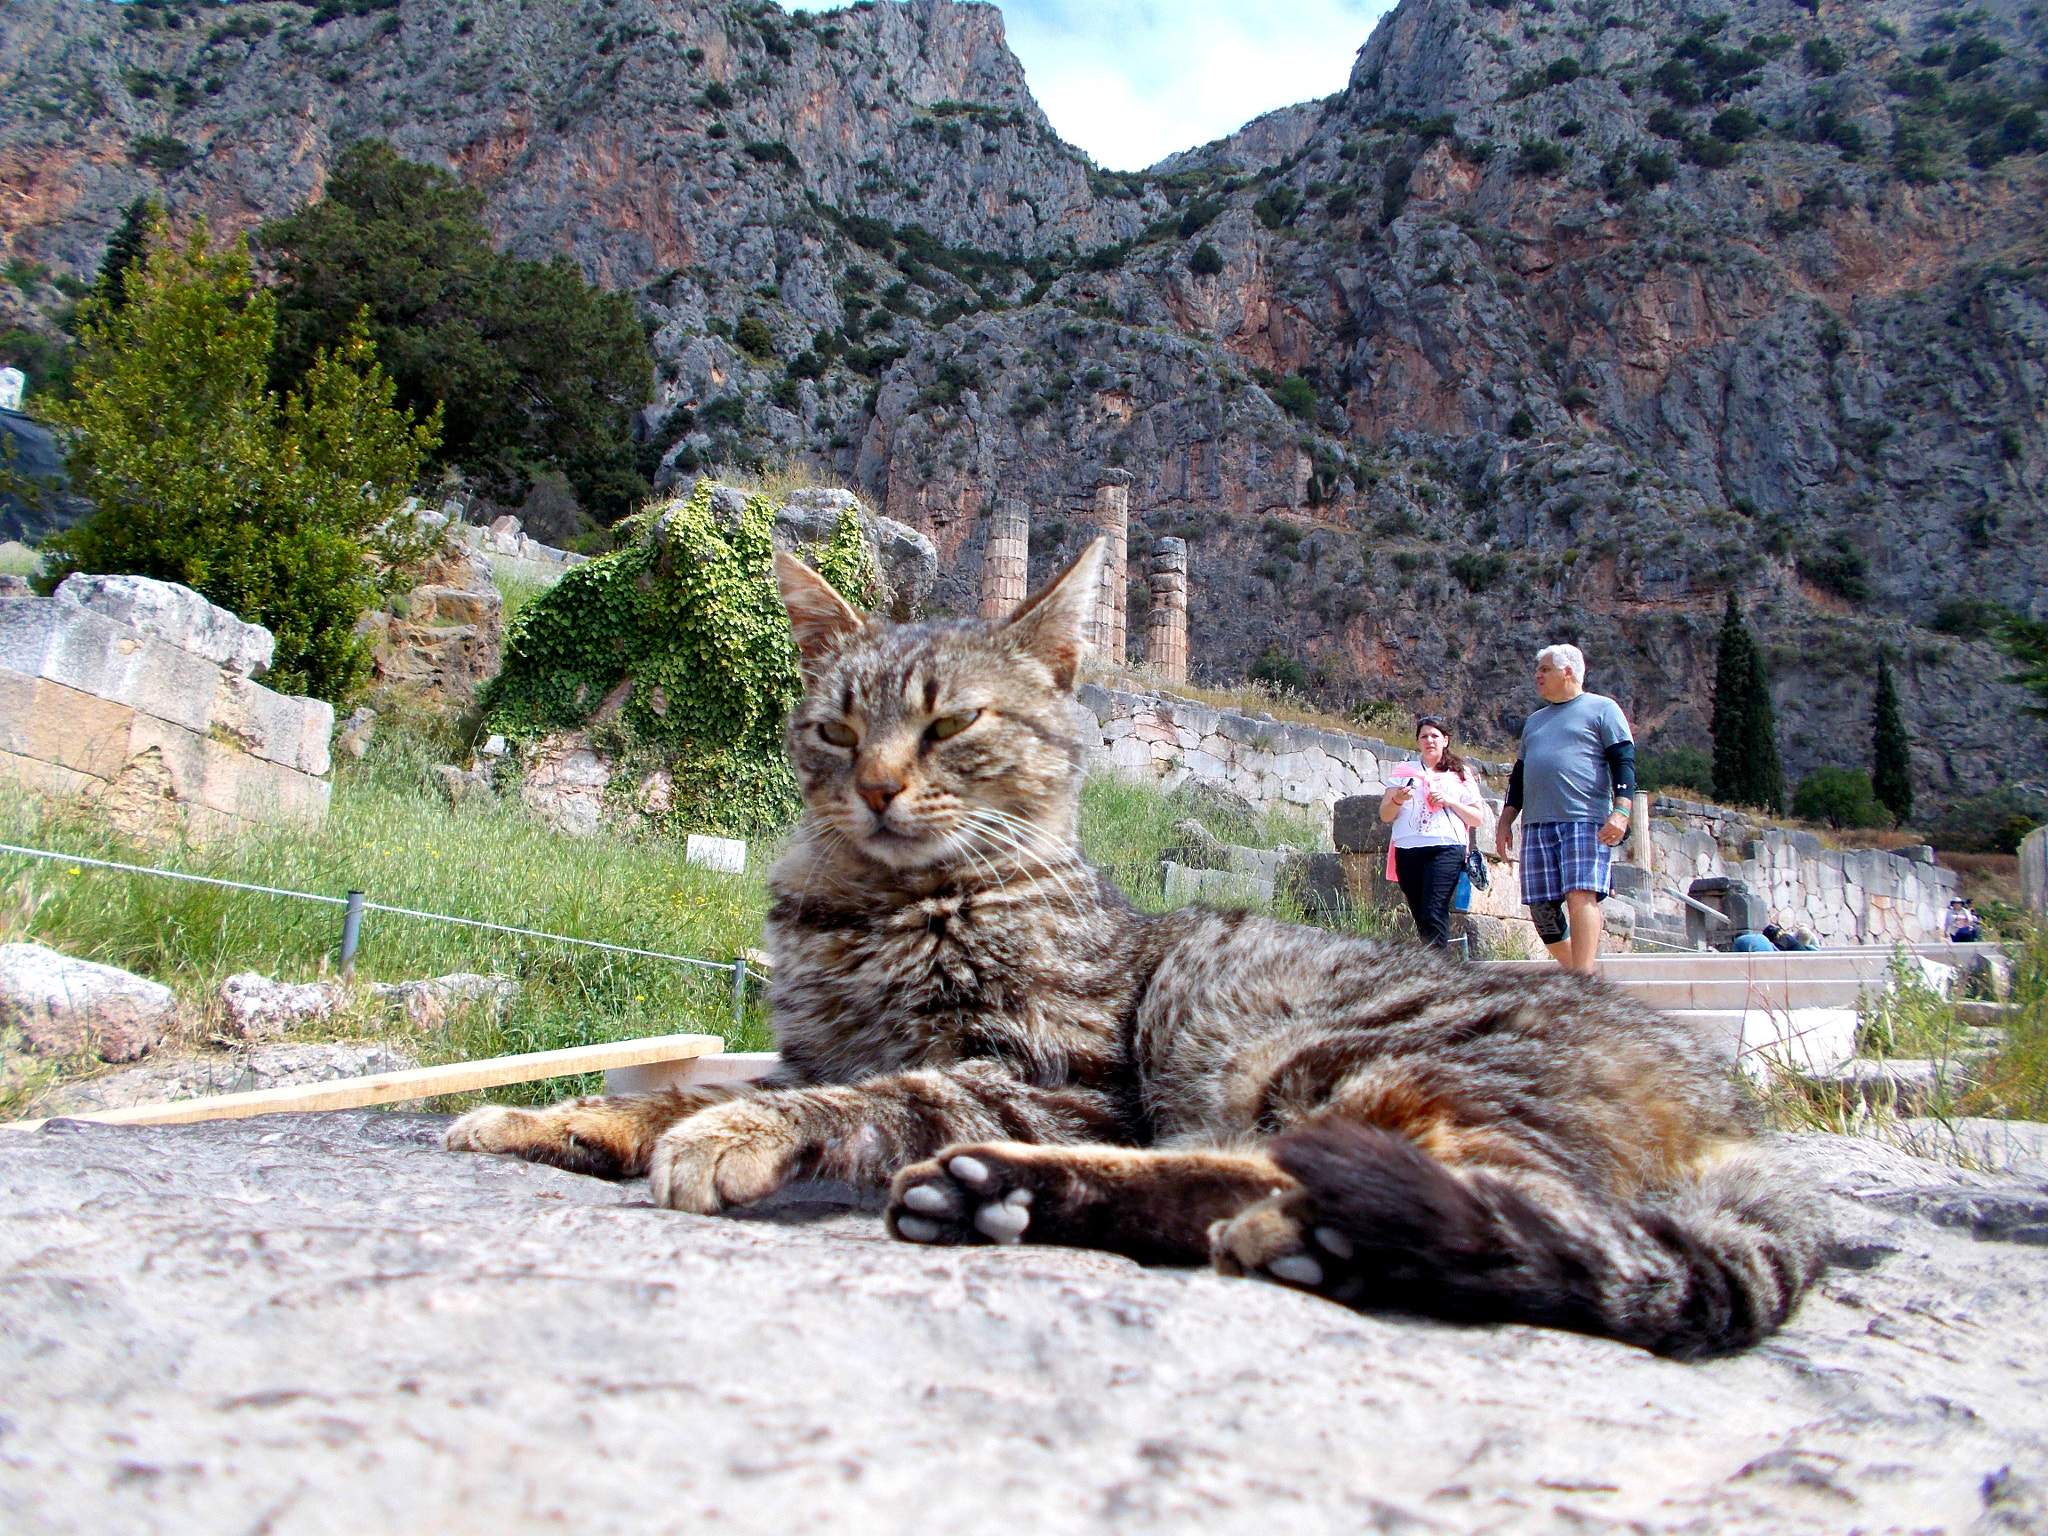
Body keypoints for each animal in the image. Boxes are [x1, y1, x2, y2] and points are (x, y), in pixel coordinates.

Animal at [448, 540, 1826, 1359]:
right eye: (835, 731)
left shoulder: (1057, 1078)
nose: (879, 788)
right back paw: (1011, 1198)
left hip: (1325, 1059)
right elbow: (685, 1083)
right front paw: (561, 1114)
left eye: (947, 728)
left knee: (1489, 1198)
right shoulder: (813, 1047)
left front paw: (735, 1133)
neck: (876, 908)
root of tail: (1733, 1111)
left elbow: (879, 1092)